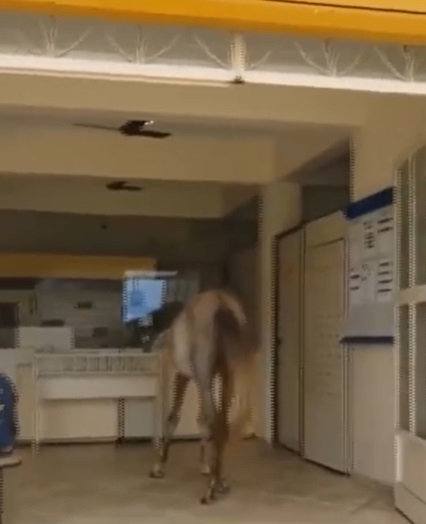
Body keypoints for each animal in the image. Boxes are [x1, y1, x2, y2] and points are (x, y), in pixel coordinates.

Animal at [149, 290, 256, 504]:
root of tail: (221, 302)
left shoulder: (185, 376)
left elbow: (174, 417)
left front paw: (158, 465)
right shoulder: (208, 378)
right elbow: (202, 420)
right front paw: (207, 467)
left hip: (204, 376)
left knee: (216, 422)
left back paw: (210, 490)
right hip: (227, 376)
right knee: (222, 424)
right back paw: (219, 481)